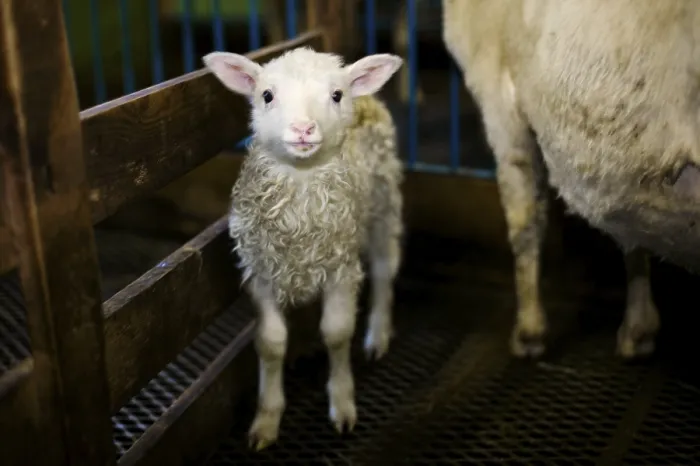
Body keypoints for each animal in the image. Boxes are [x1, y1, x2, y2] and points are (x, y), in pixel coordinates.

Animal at [202, 47, 404, 450]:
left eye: (336, 95)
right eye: (267, 95)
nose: (303, 130)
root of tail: (367, 97)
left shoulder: (341, 268)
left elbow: (337, 334)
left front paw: (342, 403)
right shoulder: (261, 272)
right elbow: (271, 343)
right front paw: (266, 419)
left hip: (383, 204)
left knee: (383, 270)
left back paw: (377, 335)